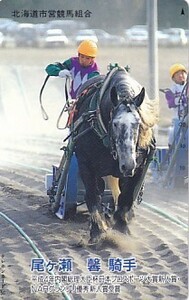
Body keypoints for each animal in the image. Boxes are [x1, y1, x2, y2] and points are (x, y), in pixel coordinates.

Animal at [71, 65, 158, 244]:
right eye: (116, 123)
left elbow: (127, 198)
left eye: (138, 123)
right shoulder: (85, 163)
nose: (127, 164)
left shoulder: (139, 167)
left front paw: (122, 229)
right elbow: (92, 196)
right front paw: (98, 231)